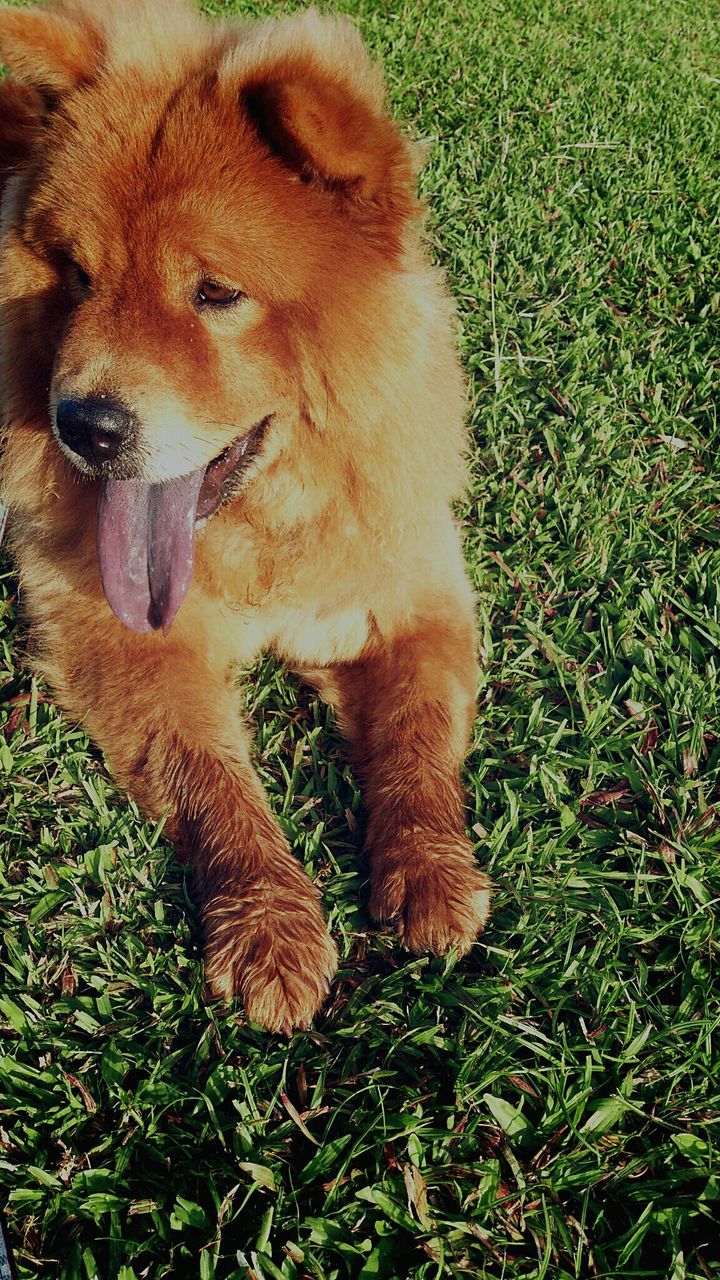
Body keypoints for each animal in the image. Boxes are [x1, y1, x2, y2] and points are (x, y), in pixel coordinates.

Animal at [0, 0, 486, 1029]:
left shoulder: (411, 592)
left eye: (216, 293)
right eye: (77, 275)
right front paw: (272, 931)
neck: (258, 537)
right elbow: (212, 781)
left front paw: (432, 875)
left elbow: (420, 733)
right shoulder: (121, 640)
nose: (83, 424)